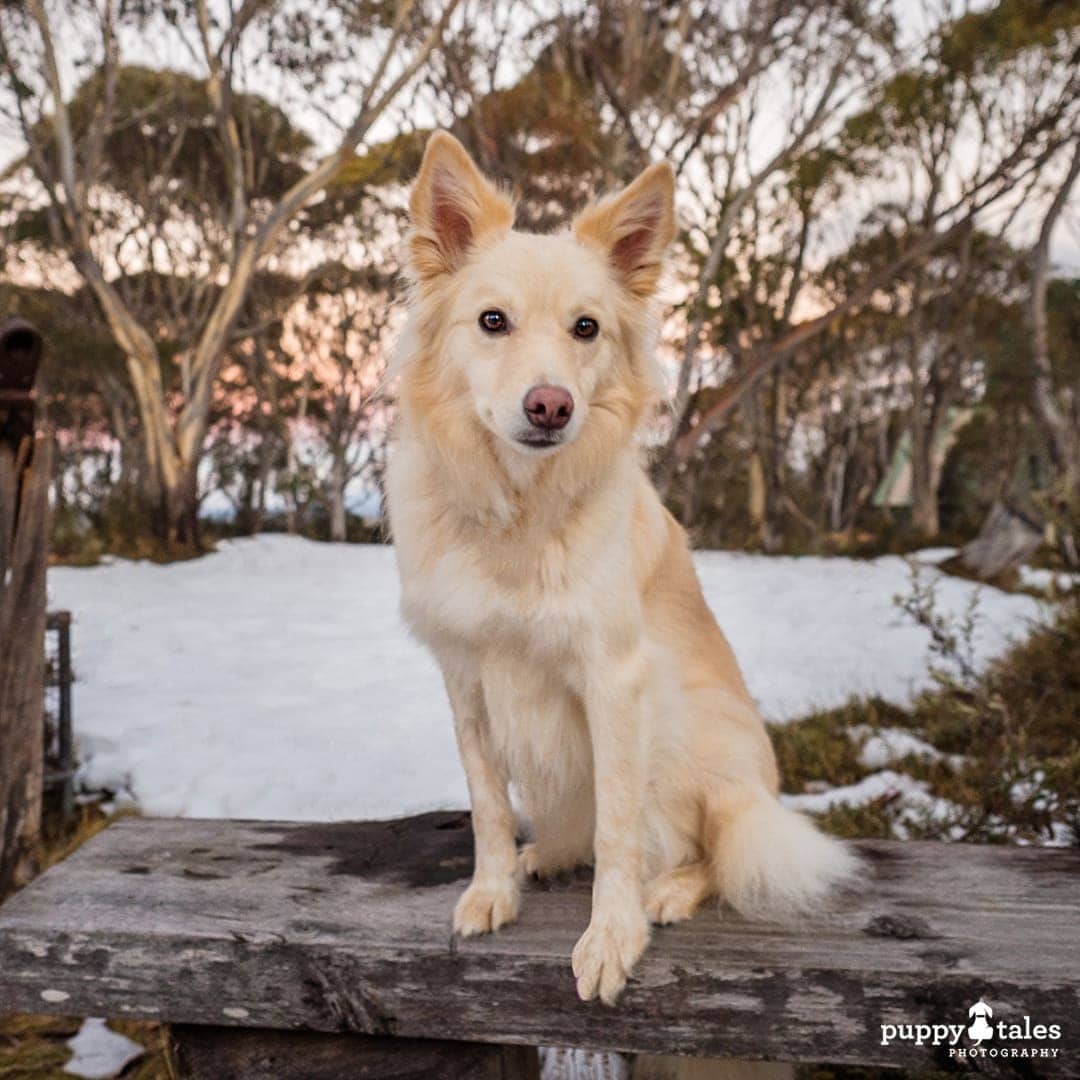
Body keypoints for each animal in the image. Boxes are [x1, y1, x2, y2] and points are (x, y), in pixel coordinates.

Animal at [384, 132, 855, 1002]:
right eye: (492, 321)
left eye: (587, 328)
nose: (551, 407)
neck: (519, 508)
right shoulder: (465, 675)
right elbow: (487, 804)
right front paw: (493, 890)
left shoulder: (616, 677)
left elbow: (620, 824)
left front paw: (613, 935)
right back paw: (546, 856)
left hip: (684, 726)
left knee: (712, 849)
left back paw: (668, 888)